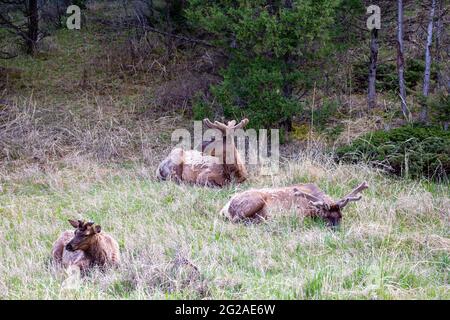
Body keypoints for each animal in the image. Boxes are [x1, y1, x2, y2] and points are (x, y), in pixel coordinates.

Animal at [219, 181, 370, 226]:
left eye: (340, 216)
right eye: (326, 216)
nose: (336, 228)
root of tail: (224, 208)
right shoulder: (298, 215)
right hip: (254, 201)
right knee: (236, 220)